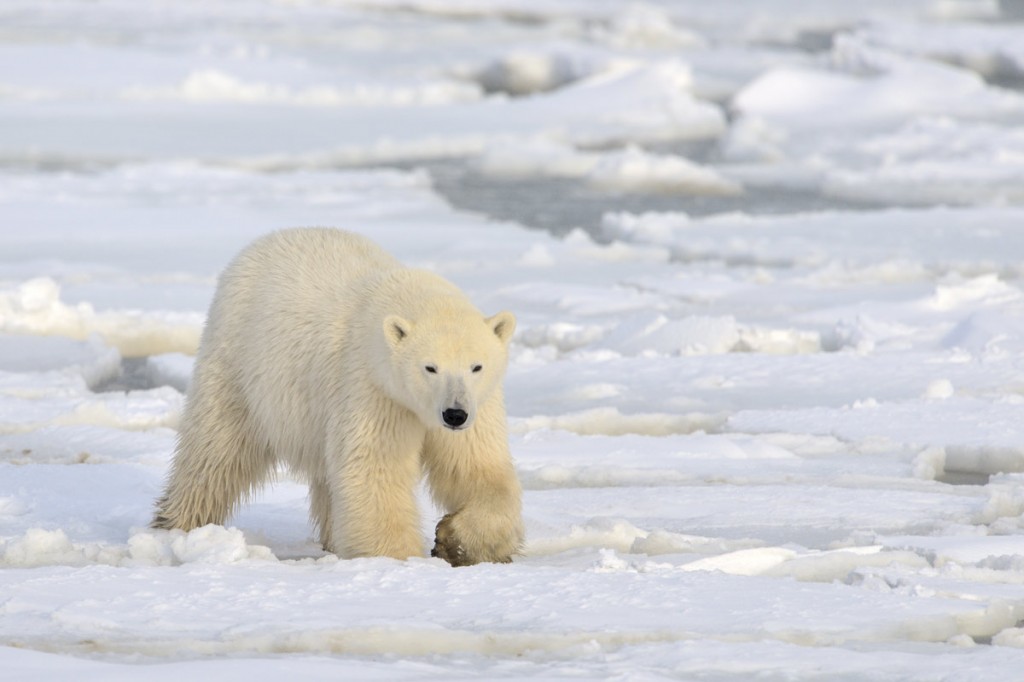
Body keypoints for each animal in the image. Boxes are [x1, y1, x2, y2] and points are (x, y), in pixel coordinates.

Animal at [155, 227, 524, 561]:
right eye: (430, 367)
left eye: (476, 366)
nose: (454, 414)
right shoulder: (372, 389)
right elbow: (375, 471)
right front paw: (400, 559)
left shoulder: (479, 404)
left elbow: (478, 468)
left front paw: (455, 541)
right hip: (238, 364)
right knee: (215, 452)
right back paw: (177, 525)